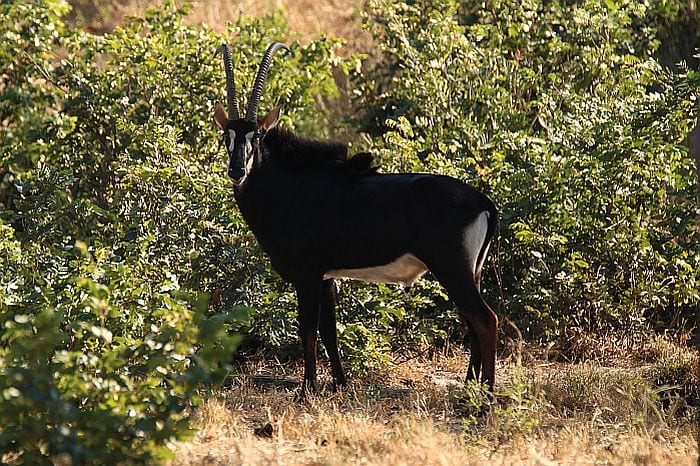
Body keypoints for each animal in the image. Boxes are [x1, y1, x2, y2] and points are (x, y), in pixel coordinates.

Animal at [213, 42, 498, 394]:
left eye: (257, 136)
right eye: (226, 136)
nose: (237, 170)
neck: (288, 186)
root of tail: (483, 202)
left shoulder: (307, 275)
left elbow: (307, 331)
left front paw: (307, 390)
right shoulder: (326, 277)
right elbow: (329, 332)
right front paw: (339, 383)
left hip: (452, 269)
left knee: (485, 320)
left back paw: (486, 394)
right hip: (470, 272)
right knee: (472, 323)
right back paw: (469, 389)